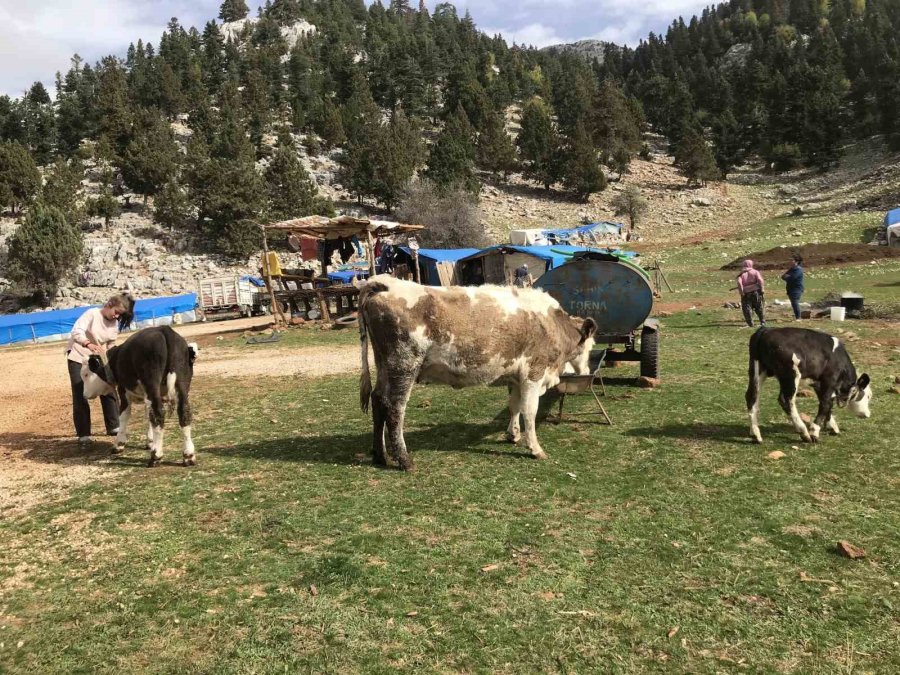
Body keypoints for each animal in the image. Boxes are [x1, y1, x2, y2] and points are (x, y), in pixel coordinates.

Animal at [81, 326, 200, 464]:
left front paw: (119, 444)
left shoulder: (124, 392)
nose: (84, 395)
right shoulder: (147, 397)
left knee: (159, 414)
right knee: (183, 412)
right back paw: (188, 455)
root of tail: (164, 329)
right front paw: (150, 442)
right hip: (181, 385)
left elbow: (124, 417)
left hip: (151, 383)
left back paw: (156, 455)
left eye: (86, 374)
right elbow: (148, 415)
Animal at [358, 274, 596, 470]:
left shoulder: (515, 377)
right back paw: (404, 460)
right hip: (404, 364)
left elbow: (514, 406)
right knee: (395, 409)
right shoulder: (533, 374)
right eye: (590, 346)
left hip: (384, 364)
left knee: (378, 400)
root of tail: (385, 283)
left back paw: (380, 455)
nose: (587, 370)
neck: (551, 323)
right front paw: (535, 448)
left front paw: (513, 435)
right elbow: (529, 411)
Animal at [744, 326, 872, 444]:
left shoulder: (818, 383)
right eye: (868, 396)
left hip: (757, 370)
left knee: (752, 397)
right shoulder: (829, 380)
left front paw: (832, 426)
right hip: (791, 375)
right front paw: (815, 432)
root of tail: (766, 330)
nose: (868, 414)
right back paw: (803, 432)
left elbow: (827, 403)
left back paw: (755, 433)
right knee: (786, 399)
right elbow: (825, 403)